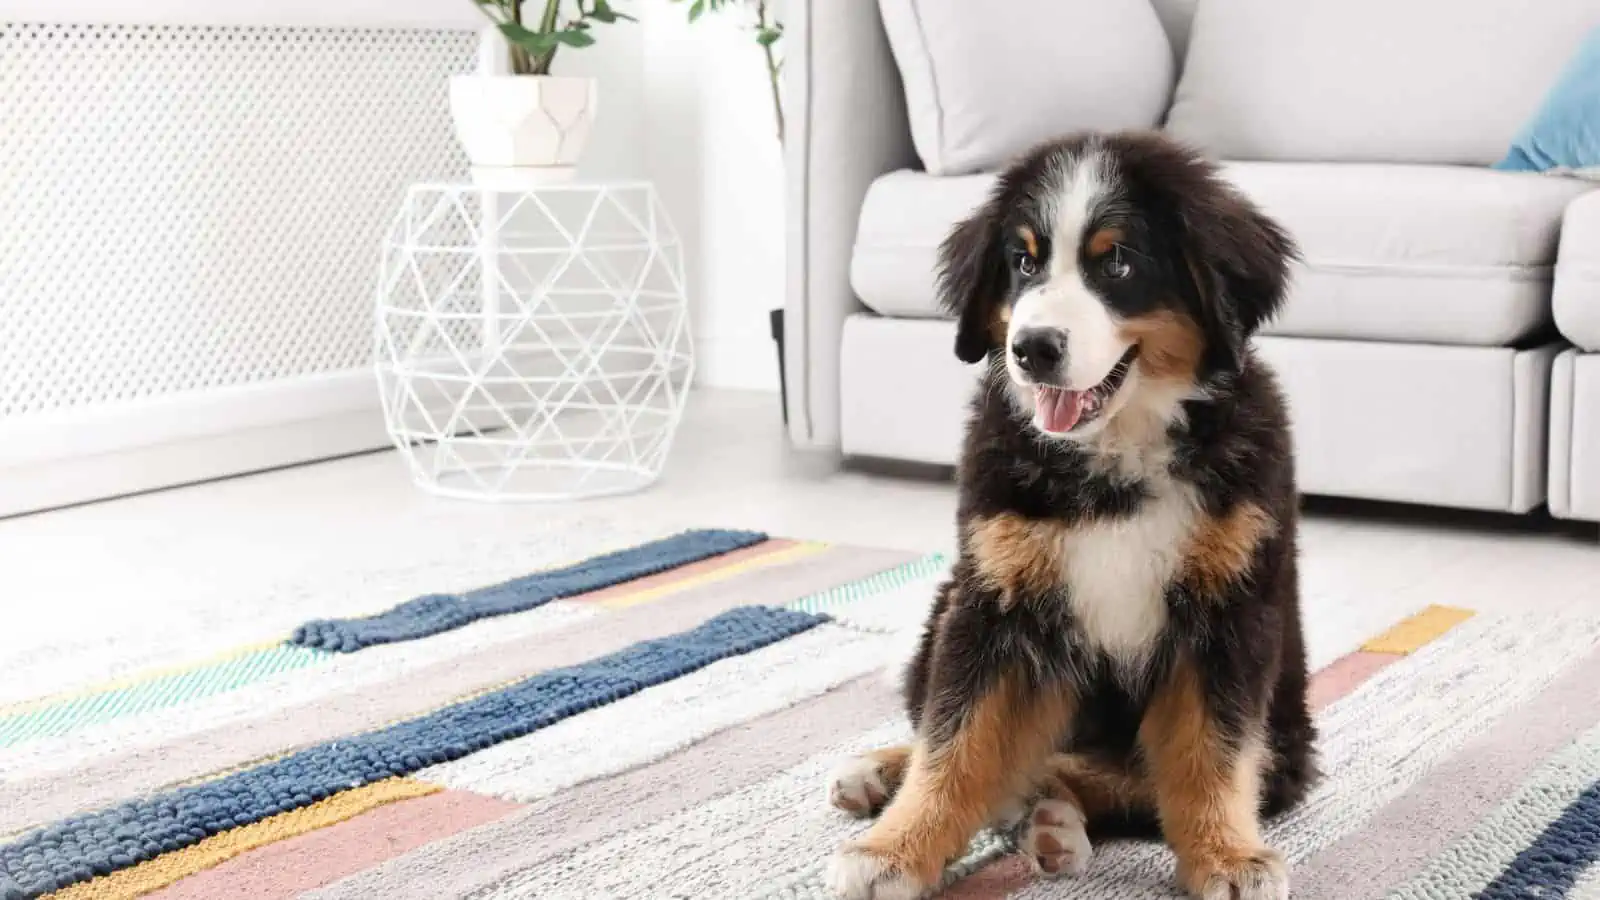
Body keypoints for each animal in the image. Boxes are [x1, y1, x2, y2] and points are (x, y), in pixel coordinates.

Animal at [825, 131, 1312, 896]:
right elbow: (954, 741)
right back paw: (882, 774)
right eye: (1023, 262)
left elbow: (1210, 752)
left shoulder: (1231, 613)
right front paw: (894, 851)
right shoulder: (994, 601)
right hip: (950, 605)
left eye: (1117, 260)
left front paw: (1227, 856)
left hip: (1286, 742)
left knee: (1103, 774)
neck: (1114, 457)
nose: (1031, 348)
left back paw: (1047, 817)